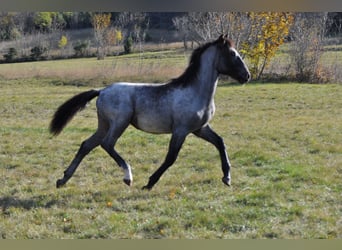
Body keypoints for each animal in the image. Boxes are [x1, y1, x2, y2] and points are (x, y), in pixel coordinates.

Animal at [48, 34, 251, 190]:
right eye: (232, 54)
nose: (246, 76)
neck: (195, 91)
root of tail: (102, 90)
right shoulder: (181, 130)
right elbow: (171, 158)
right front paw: (149, 183)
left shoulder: (200, 128)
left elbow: (220, 143)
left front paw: (227, 178)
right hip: (120, 122)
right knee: (107, 144)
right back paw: (128, 177)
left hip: (104, 125)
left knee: (87, 145)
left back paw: (62, 179)